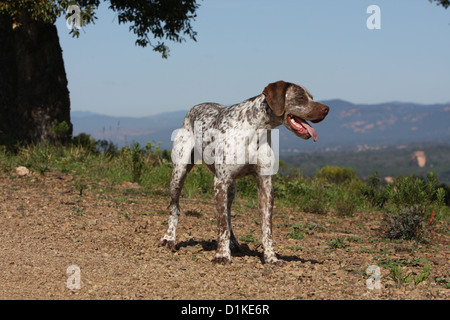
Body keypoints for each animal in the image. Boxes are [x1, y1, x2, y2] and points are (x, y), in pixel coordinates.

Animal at [160, 80, 328, 264]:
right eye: (300, 97)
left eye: (311, 96)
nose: (326, 109)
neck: (256, 130)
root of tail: (193, 109)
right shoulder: (221, 182)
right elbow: (222, 226)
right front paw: (221, 255)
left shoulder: (265, 184)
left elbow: (266, 228)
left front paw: (271, 256)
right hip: (179, 174)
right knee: (175, 208)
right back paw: (169, 238)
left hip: (231, 189)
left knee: (228, 215)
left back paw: (233, 243)